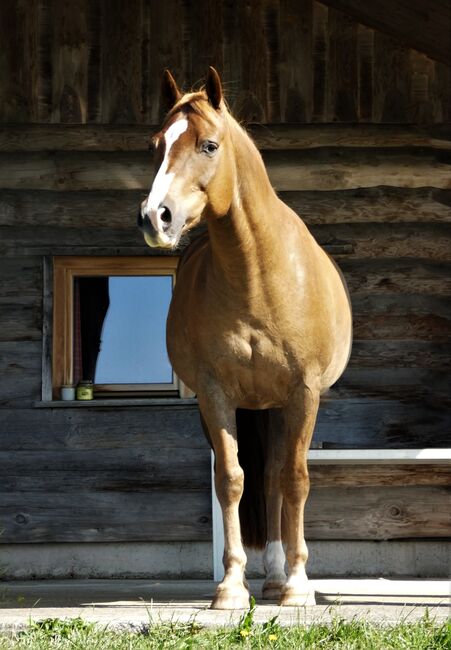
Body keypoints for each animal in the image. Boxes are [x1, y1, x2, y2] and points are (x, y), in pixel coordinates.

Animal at [138, 67, 354, 608]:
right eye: (157, 144)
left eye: (209, 145)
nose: (155, 217)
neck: (258, 274)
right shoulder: (216, 395)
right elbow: (232, 479)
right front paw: (232, 585)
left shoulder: (302, 392)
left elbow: (294, 480)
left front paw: (299, 585)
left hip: (278, 405)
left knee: (276, 478)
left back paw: (279, 579)